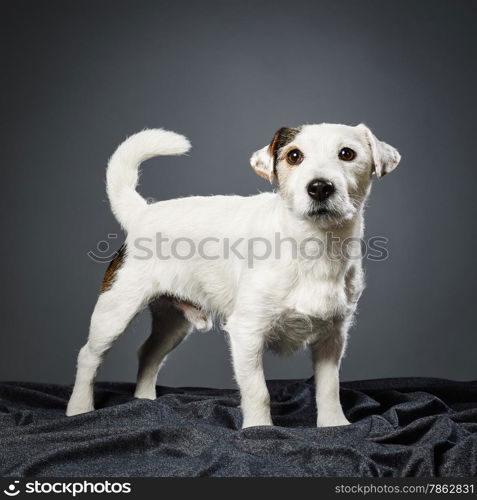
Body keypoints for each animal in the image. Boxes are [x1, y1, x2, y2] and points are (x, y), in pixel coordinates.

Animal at [67, 124, 400, 426]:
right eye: (294, 156)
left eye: (347, 154)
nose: (320, 187)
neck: (314, 247)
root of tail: (143, 213)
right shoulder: (247, 333)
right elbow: (258, 391)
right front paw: (259, 430)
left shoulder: (332, 337)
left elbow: (329, 387)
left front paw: (334, 425)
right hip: (115, 310)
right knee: (88, 356)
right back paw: (79, 408)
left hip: (173, 323)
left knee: (148, 353)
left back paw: (144, 402)